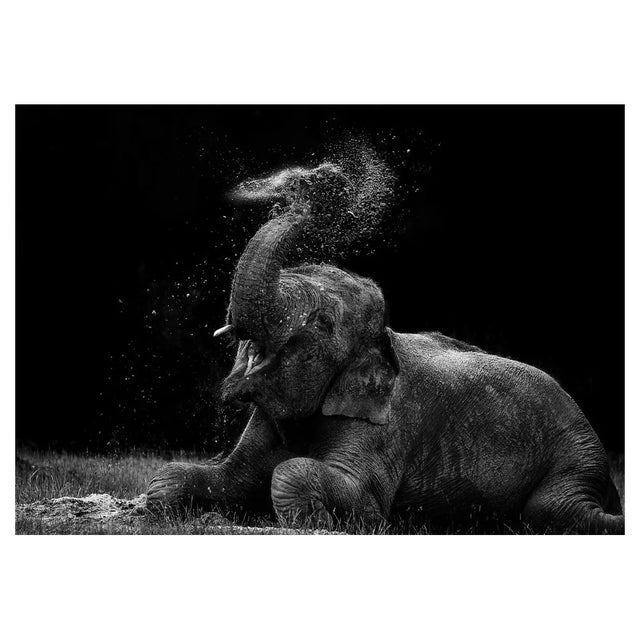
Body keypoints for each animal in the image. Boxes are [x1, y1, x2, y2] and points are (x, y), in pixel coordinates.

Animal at [147, 172, 624, 534]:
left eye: (323, 323)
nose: (315, 179)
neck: (383, 339)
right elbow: (203, 475)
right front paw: (151, 506)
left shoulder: (388, 424)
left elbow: (343, 489)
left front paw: (327, 522)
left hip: (575, 454)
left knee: (554, 511)